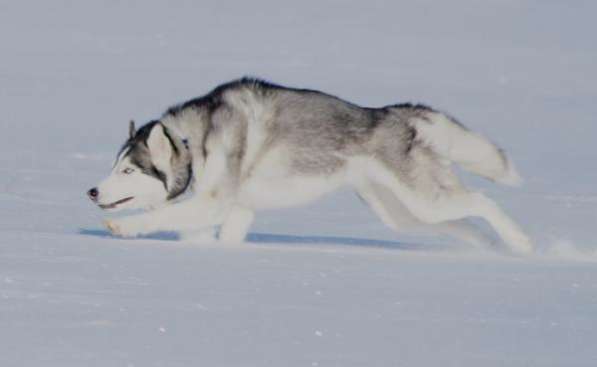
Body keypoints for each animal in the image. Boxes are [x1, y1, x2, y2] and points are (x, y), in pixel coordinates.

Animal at [87, 78, 532, 253]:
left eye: (128, 171)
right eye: (114, 166)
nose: (91, 191)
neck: (192, 141)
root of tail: (393, 113)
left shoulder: (214, 202)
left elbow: (159, 217)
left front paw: (122, 228)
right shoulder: (239, 209)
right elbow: (220, 237)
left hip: (423, 198)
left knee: (483, 201)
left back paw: (522, 243)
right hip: (403, 212)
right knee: (465, 220)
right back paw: (489, 247)